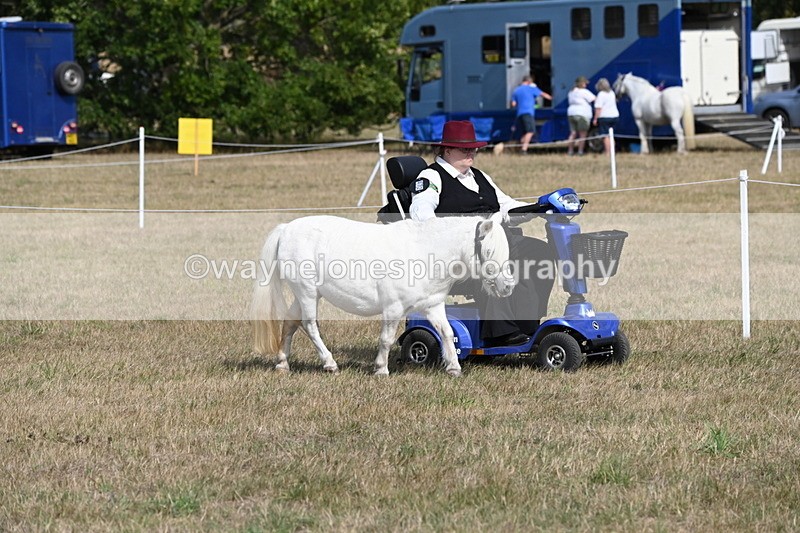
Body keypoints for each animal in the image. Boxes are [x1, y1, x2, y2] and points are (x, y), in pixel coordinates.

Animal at [251, 212, 515, 377]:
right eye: (488, 251)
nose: (507, 287)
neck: (423, 252)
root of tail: (286, 229)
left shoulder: (433, 305)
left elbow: (448, 333)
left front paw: (453, 367)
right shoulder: (393, 308)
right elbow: (387, 339)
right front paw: (380, 369)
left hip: (308, 294)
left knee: (290, 323)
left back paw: (282, 364)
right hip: (306, 292)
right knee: (309, 324)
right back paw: (330, 363)